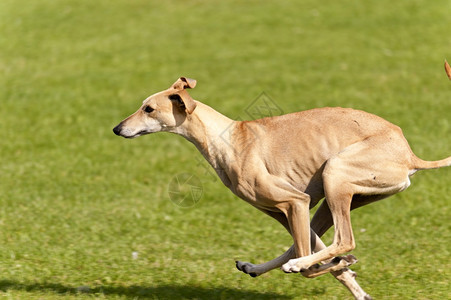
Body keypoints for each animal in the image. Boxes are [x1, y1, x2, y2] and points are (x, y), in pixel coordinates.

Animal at [114, 67, 451, 298]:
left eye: (149, 109)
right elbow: (309, 249)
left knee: (342, 240)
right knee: (312, 245)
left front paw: (326, 267)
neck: (229, 137)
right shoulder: (284, 211)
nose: (117, 129)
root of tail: (409, 155)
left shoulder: (295, 202)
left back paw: (319, 261)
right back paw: (260, 268)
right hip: (335, 198)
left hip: (335, 174)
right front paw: (346, 274)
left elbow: (310, 262)